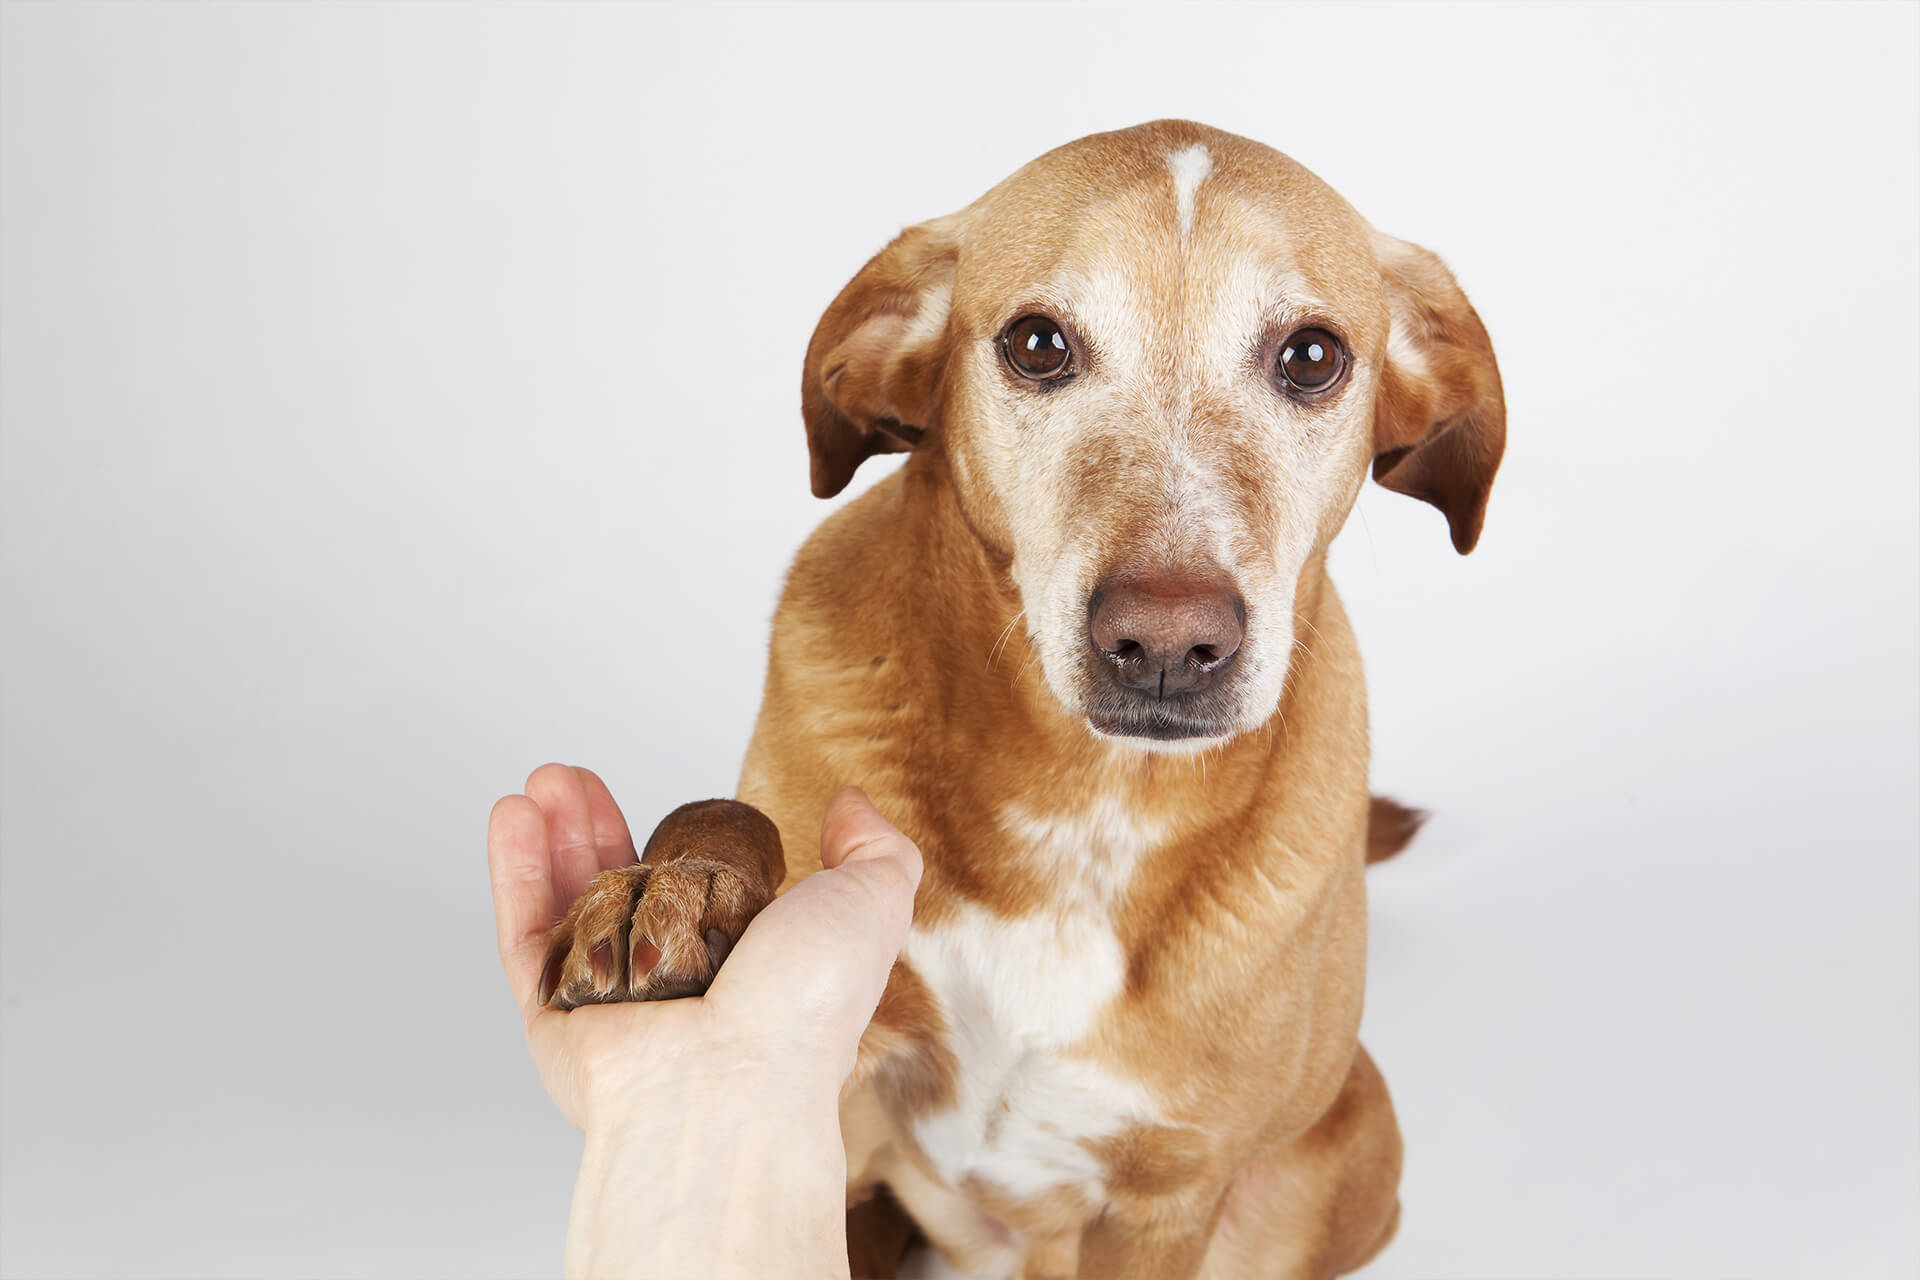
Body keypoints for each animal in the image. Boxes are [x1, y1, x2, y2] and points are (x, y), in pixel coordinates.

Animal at [537, 117, 1497, 1274]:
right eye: (1038, 344)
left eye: (1312, 356)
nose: (1166, 641)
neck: (1085, 804)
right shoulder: (847, 1111)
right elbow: (729, 815)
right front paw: (678, 883)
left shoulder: (1164, 1205)